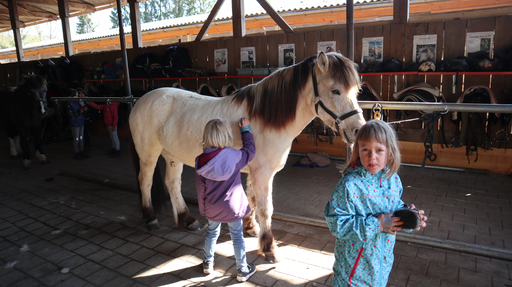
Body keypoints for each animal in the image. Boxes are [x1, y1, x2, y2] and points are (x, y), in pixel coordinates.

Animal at [130, 51, 366, 264]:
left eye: (356, 90)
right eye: (335, 90)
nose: (358, 130)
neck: (264, 118)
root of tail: (142, 100)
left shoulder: (254, 170)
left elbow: (251, 198)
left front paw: (251, 227)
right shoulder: (263, 173)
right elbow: (265, 208)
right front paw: (269, 247)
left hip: (172, 155)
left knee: (172, 183)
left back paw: (187, 219)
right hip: (149, 153)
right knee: (145, 181)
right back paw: (151, 218)